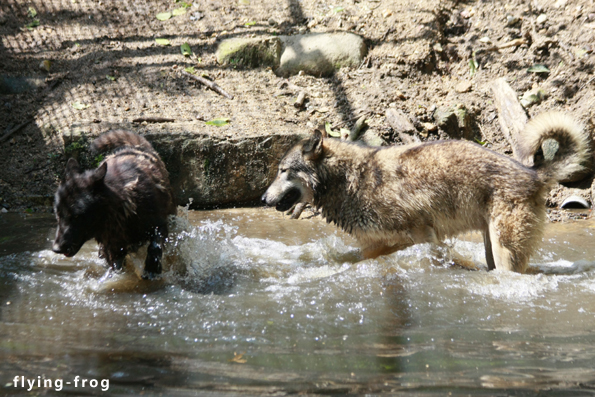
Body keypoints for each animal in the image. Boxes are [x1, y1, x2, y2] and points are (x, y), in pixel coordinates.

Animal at [51, 130, 175, 278]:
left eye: (76, 216)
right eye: (58, 215)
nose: (56, 249)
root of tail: (138, 147)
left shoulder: (160, 225)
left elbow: (155, 246)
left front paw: (152, 269)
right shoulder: (113, 247)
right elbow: (116, 267)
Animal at [264, 111, 592, 272]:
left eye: (283, 171)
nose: (263, 199)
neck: (348, 180)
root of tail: (534, 174)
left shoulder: (424, 235)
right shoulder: (376, 246)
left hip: (504, 252)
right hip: (492, 246)